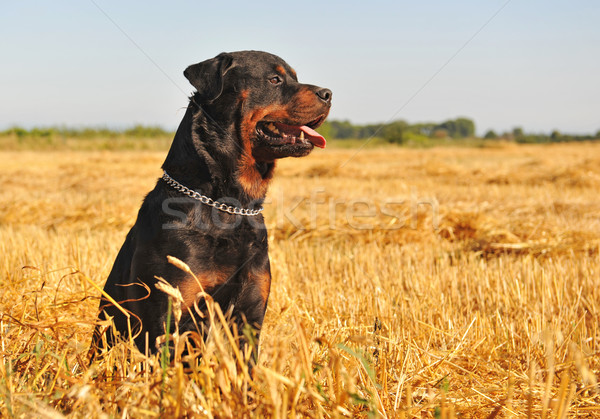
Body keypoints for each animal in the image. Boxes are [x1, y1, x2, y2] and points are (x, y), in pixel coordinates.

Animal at [88, 49, 330, 364]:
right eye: (274, 80)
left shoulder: (250, 313)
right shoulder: (169, 313)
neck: (230, 206)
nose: (328, 93)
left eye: (295, 78)